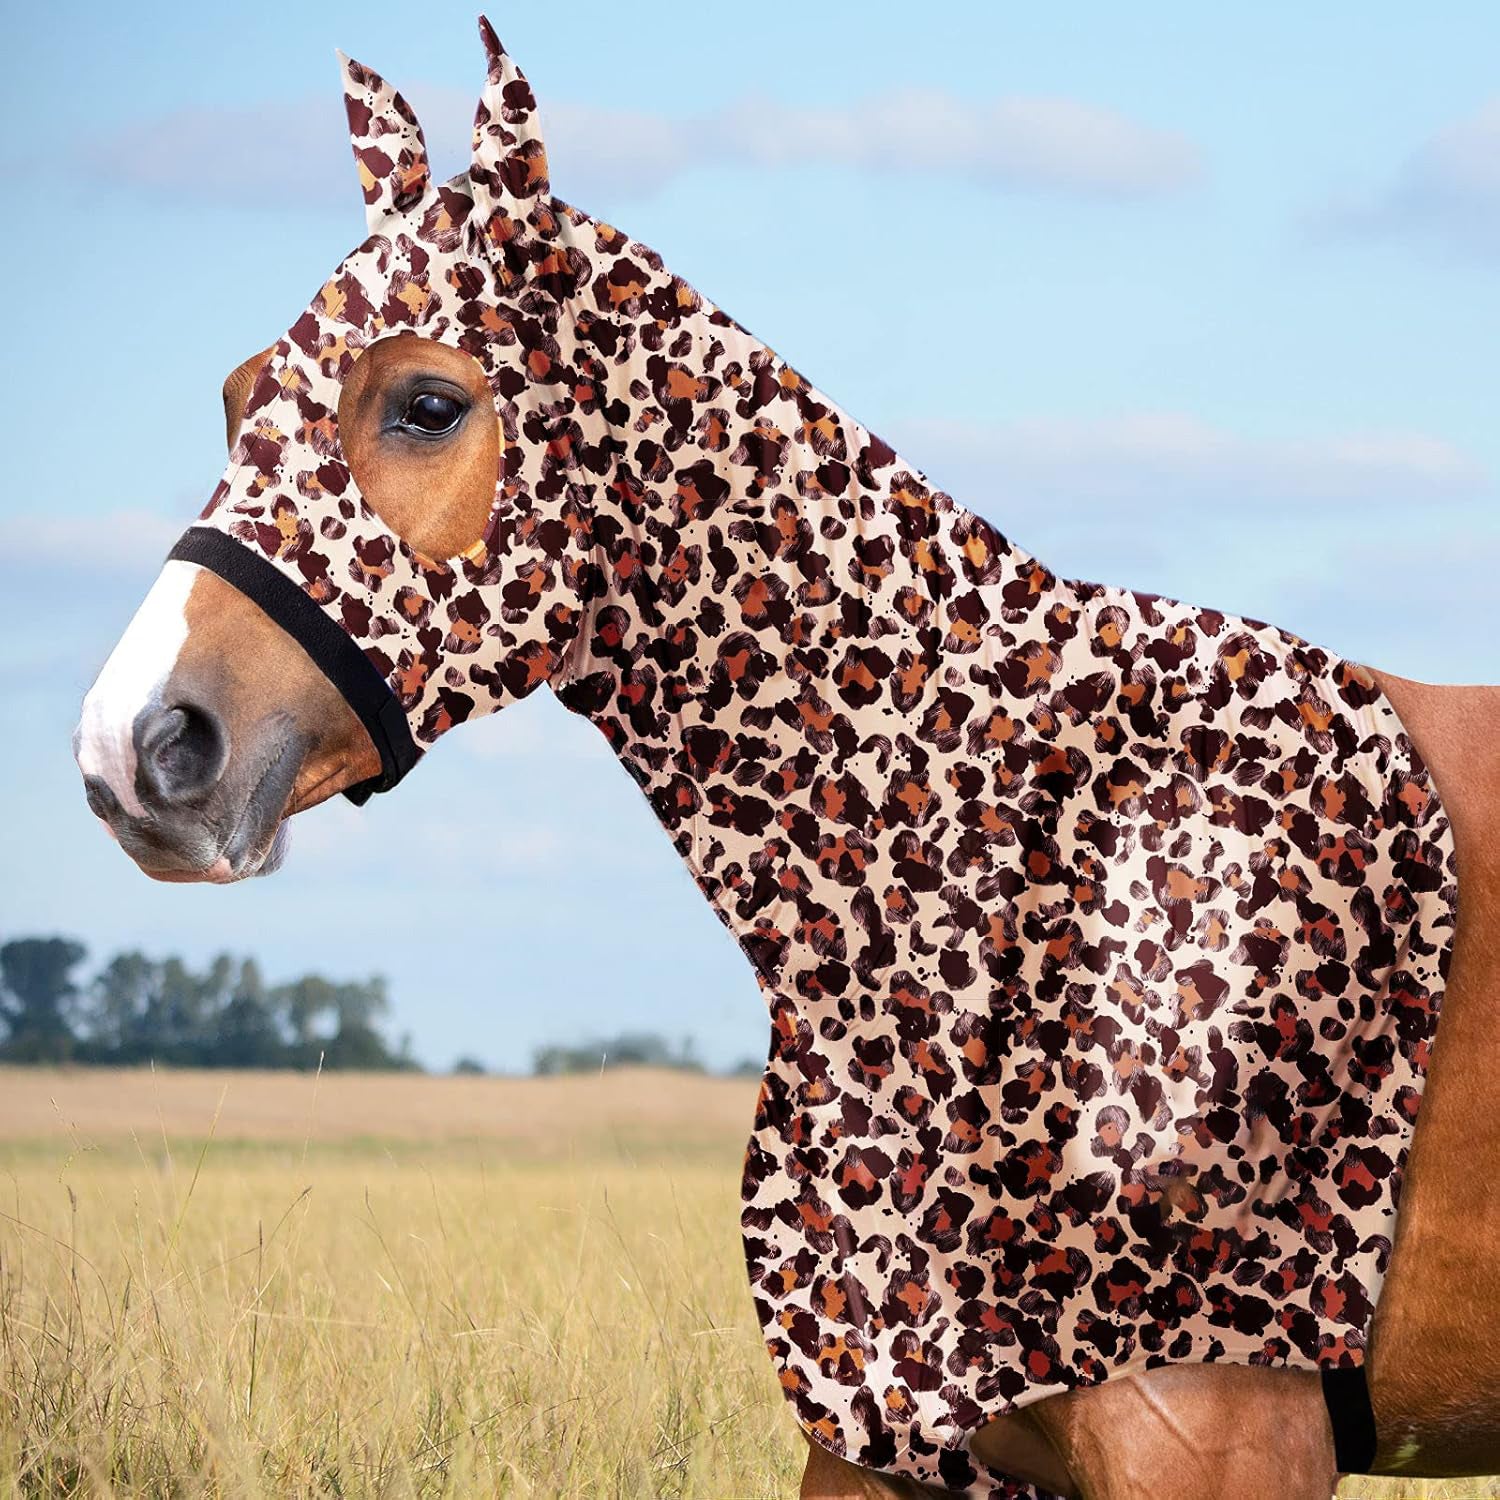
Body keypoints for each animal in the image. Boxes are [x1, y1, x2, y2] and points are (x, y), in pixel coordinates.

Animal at [72, 20, 1500, 1500]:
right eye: (234, 394)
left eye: (425, 402)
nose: (137, 744)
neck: (1020, 867)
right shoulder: (883, 1448)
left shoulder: (1213, 1446)